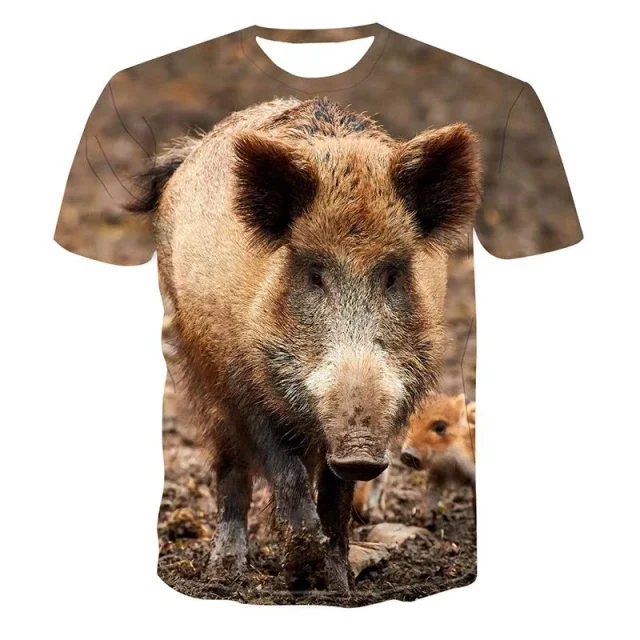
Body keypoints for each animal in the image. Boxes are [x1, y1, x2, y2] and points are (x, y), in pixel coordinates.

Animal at [401, 394, 476, 525]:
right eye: (411, 421)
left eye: (440, 427)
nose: (407, 455)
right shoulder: (438, 471)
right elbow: (431, 490)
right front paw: (422, 520)